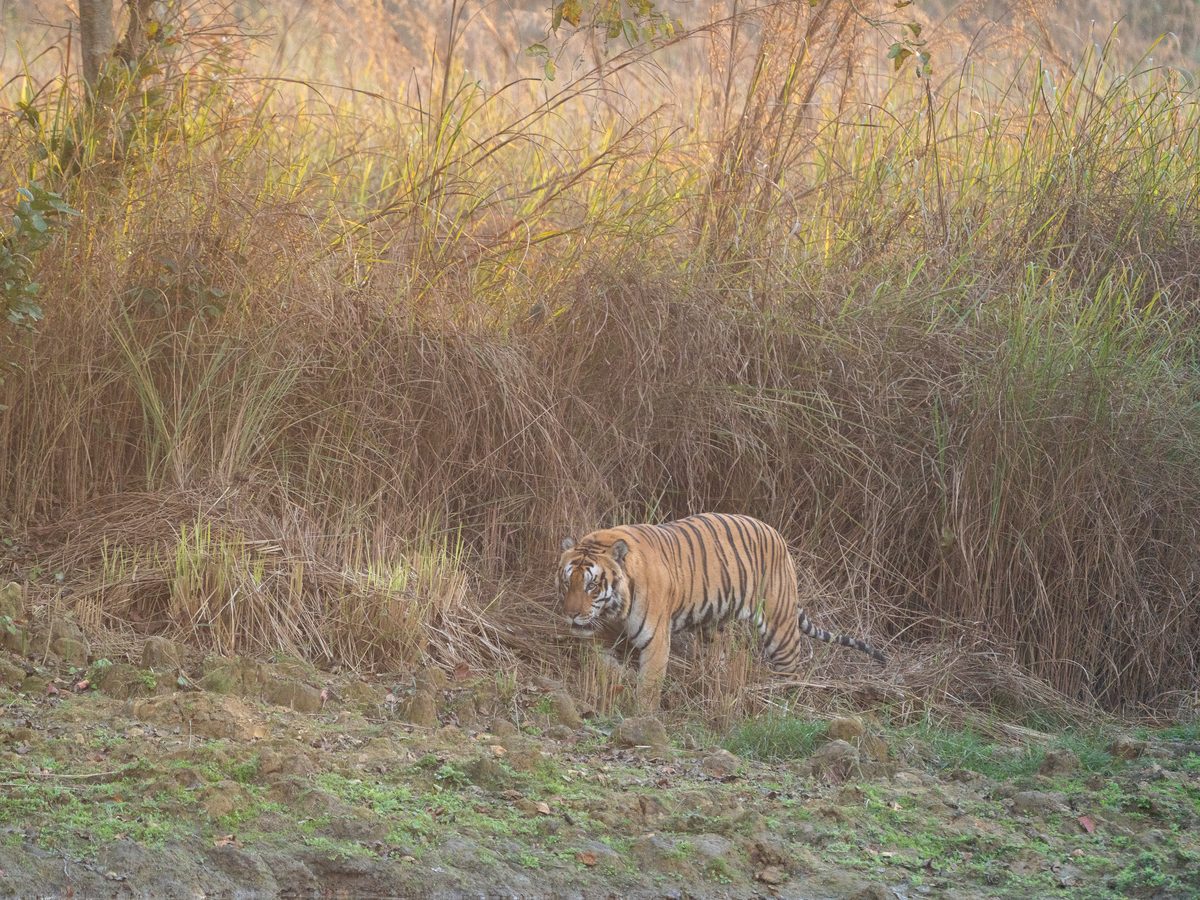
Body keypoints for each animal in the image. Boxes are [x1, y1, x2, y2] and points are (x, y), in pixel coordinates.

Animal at [558, 513, 885, 710]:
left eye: (591, 586)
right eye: (566, 582)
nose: (571, 614)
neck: (614, 608)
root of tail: (777, 535)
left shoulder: (656, 641)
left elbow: (649, 684)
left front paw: (642, 714)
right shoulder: (601, 635)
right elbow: (604, 667)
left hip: (780, 629)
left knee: (792, 670)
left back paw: (784, 705)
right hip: (714, 627)